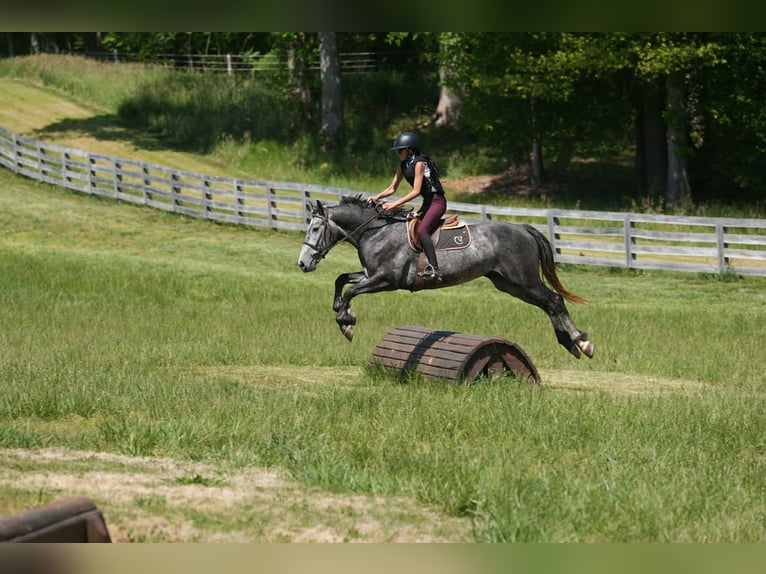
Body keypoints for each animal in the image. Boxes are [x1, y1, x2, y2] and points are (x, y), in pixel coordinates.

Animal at [298, 195, 594, 359]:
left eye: (315, 229)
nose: (302, 263)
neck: (376, 231)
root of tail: (523, 228)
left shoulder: (386, 280)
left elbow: (349, 290)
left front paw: (346, 322)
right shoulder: (371, 276)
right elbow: (341, 279)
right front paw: (341, 310)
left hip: (524, 280)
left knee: (554, 300)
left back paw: (581, 341)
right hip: (510, 285)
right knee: (547, 304)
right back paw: (569, 343)